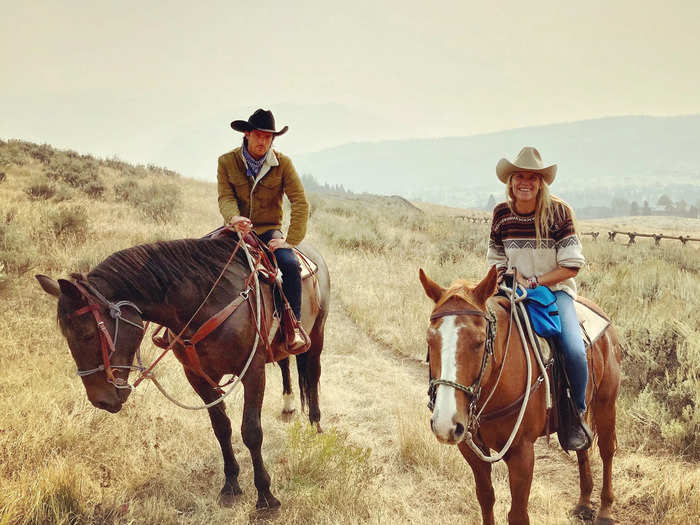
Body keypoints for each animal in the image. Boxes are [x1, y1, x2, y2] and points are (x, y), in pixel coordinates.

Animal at [37, 236, 332, 508]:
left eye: (87, 334)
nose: (100, 400)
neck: (207, 300)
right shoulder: (197, 376)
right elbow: (221, 427)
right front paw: (231, 483)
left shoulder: (253, 371)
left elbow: (251, 431)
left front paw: (265, 495)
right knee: (284, 362)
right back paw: (289, 405)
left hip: (317, 334)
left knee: (312, 373)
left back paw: (315, 424)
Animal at [418, 266, 620, 524]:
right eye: (429, 339)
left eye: (479, 341)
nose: (445, 423)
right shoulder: (471, 449)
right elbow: (486, 498)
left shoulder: (521, 454)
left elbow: (518, 514)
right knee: (582, 448)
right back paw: (584, 503)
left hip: (606, 403)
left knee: (606, 451)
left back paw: (605, 510)